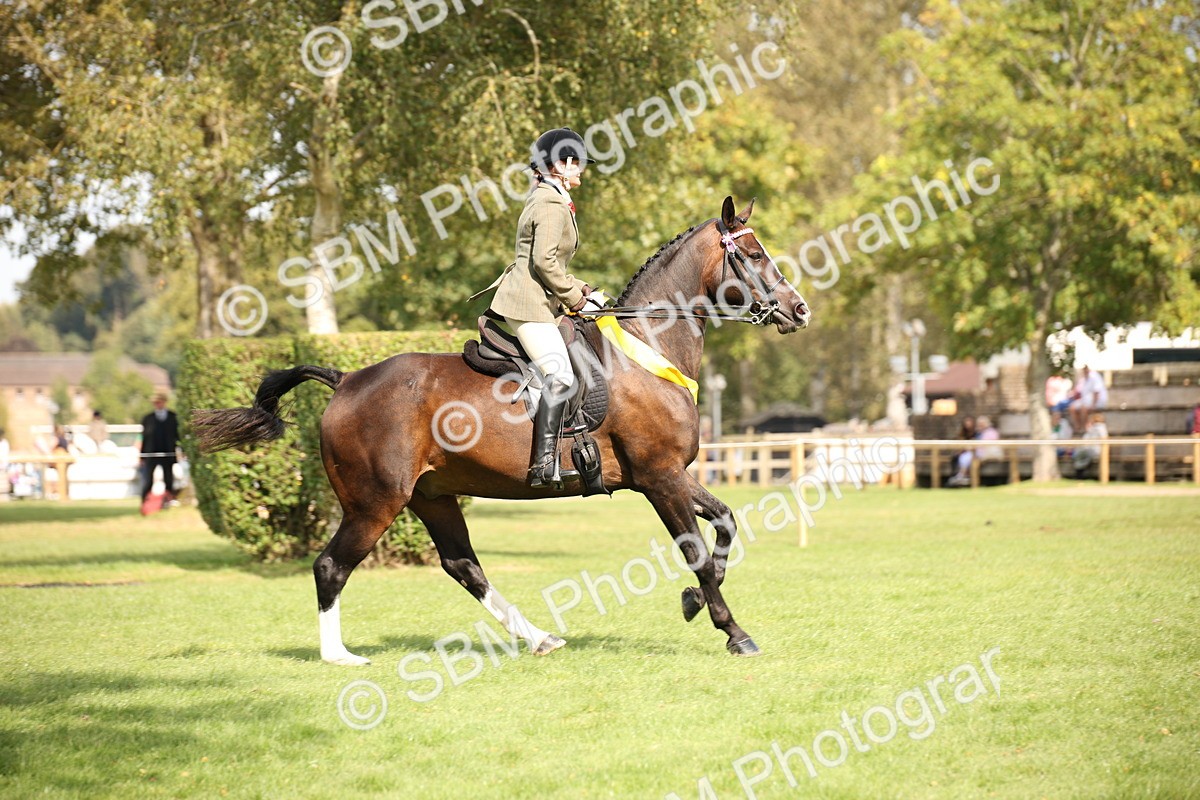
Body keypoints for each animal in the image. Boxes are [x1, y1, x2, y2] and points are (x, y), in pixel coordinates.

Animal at [193, 196, 810, 664]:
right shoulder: (658, 477)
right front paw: (733, 631)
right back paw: (338, 657)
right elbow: (699, 552)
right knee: (331, 566)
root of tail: (346, 380)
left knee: (462, 565)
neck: (647, 347)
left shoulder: (668, 474)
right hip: (375, 503)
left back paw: (538, 638)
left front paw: (692, 602)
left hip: (432, 496)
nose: (799, 310)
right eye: (753, 254)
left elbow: (725, 524)